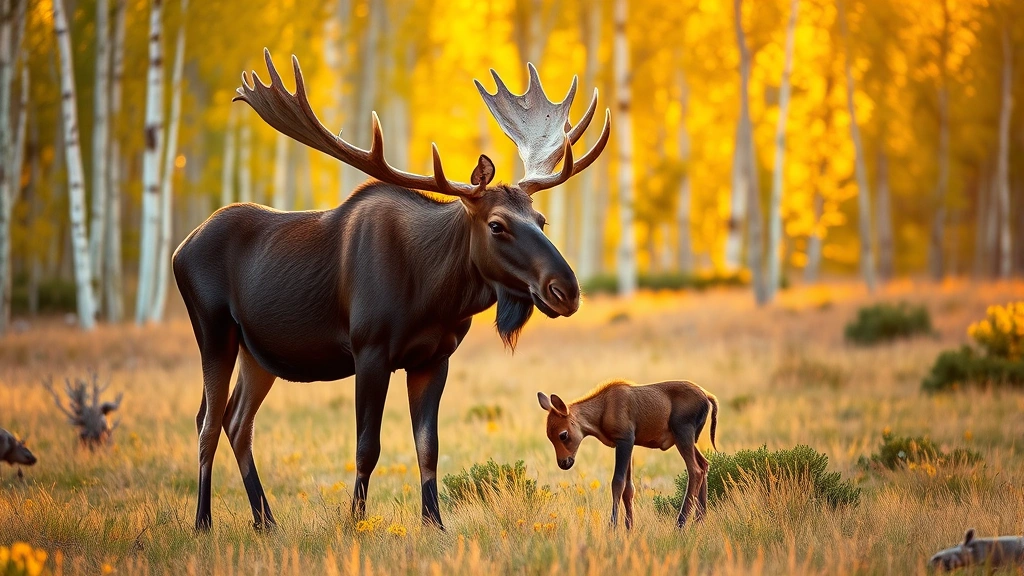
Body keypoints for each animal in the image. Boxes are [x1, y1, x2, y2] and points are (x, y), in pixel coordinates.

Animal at [173, 49, 610, 532]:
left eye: (541, 220)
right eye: (497, 225)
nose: (566, 290)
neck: (432, 296)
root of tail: (180, 247)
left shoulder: (434, 357)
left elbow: (428, 448)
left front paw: (434, 523)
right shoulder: (370, 350)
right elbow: (367, 447)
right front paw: (356, 522)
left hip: (258, 351)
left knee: (237, 421)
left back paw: (265, 520)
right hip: (213, 330)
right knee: (208, 422)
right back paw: (202, 522)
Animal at [538, 379, 718, 529]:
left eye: (563, 434)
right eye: (549, 435)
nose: (564, 462)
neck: (604, 408)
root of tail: (707, 397)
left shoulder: (625, 441)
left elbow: (617, 483)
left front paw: (612, 526)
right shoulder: (629, 445)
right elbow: (629, 488)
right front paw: (629, 527)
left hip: (683, 435)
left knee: (695, 470)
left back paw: (680, 524)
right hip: (687, 440)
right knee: (704, 464)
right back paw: (698, 521)